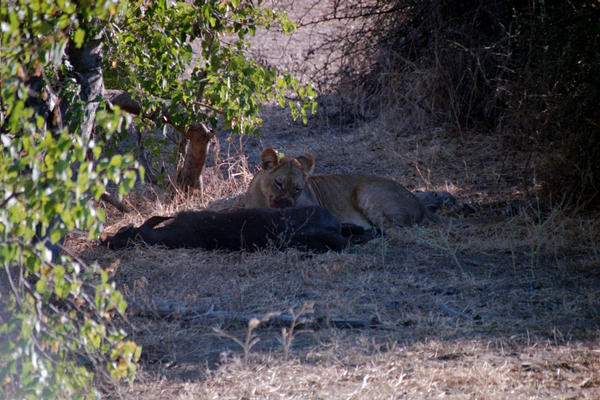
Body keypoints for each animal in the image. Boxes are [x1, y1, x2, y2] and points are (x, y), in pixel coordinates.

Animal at [244, 147, 436, 230]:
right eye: (278, 183)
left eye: (298, 189)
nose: (285, 206)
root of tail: (419, 202)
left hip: (364, 189)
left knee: (390, 228)